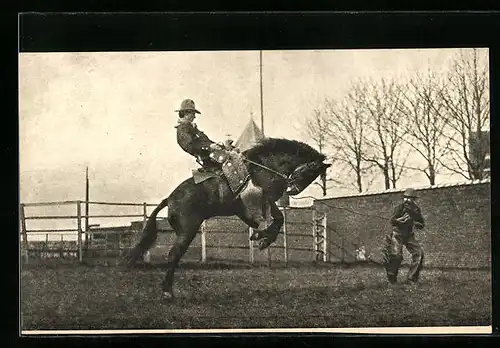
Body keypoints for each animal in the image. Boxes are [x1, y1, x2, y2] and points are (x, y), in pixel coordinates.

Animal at [123, 137, 330, 300]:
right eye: (309, 173)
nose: (292, 189)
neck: (264, 167)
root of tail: (170, 199)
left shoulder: (248, 207)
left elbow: (272, 220)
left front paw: (261, 236)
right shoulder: (261, 197)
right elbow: (277, 218)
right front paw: (263, 237)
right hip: (188, 231)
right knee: (174, 254)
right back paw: (167, 291)